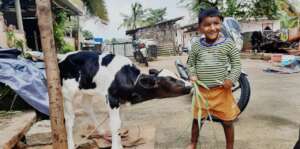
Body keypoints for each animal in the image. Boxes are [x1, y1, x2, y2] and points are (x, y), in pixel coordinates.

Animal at [57, 50, 191, 148]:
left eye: (176, 75)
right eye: (171, 80)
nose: (190, 85)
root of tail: (62, 57)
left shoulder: (121, 101)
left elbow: (119, 124)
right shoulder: (112, 99)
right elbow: (115, 124)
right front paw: (116, 147)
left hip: (88, 89)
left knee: (86, 105)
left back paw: (101, 132)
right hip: (67, 93)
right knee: (69, 120)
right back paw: (70, 144)